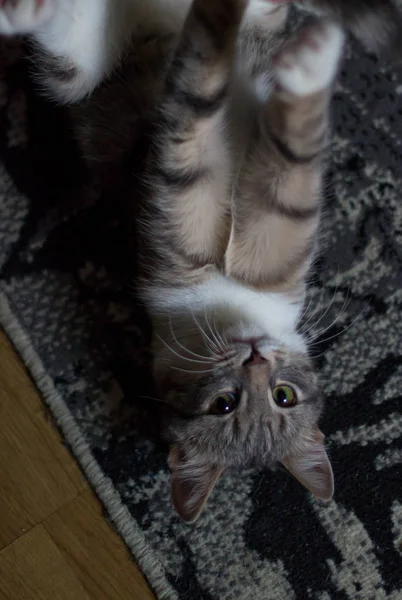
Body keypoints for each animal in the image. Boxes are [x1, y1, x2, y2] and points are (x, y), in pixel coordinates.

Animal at [0, 0, 398, 524]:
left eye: (283, 396)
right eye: (225, 404)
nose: (256, 356)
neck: (233, 301)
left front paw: (303, 58)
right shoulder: (198, 206)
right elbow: (214, 109)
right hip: (81, 85)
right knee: (72, 59)